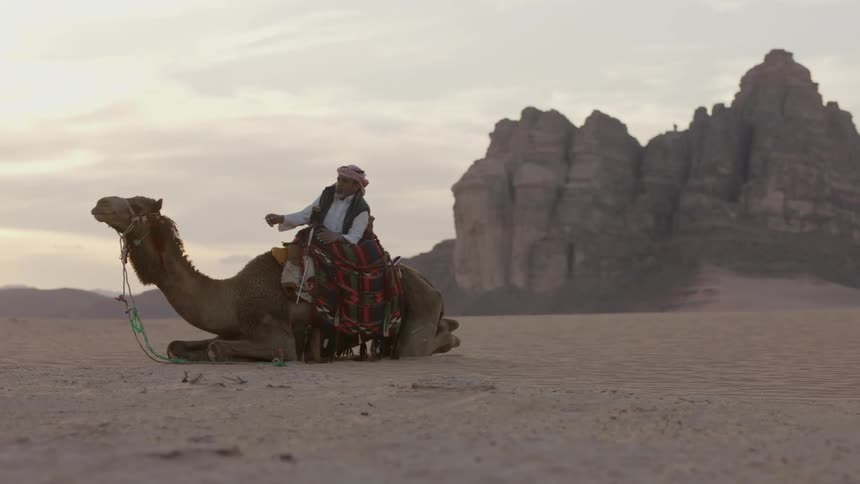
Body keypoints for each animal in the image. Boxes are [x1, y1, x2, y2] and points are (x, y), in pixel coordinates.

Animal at [91, 196, 461, 363]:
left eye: (136, 204)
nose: (100, 203)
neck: (232, 294)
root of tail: (434, 287)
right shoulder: (235, 325)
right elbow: (178, 345)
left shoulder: (277, 333)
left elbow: (216, 348)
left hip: (418, 313)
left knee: (418, 346)